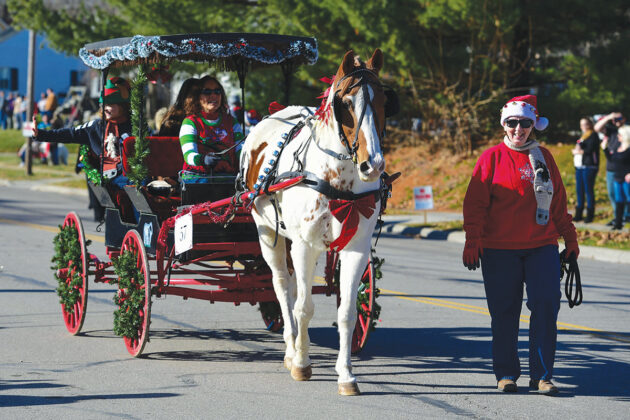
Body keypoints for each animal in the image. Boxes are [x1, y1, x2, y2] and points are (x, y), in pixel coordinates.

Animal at [241, 49, 390, 398]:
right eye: (346, 103)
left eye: (384, 100)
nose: (373, 164)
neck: (337, 179)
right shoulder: (305, 244)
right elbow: (303, 307)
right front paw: (301, 363)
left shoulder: (356, 248)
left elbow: (347, 312)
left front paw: (346, 375)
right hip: (269, 235)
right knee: (283, 288)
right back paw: (290, 348)